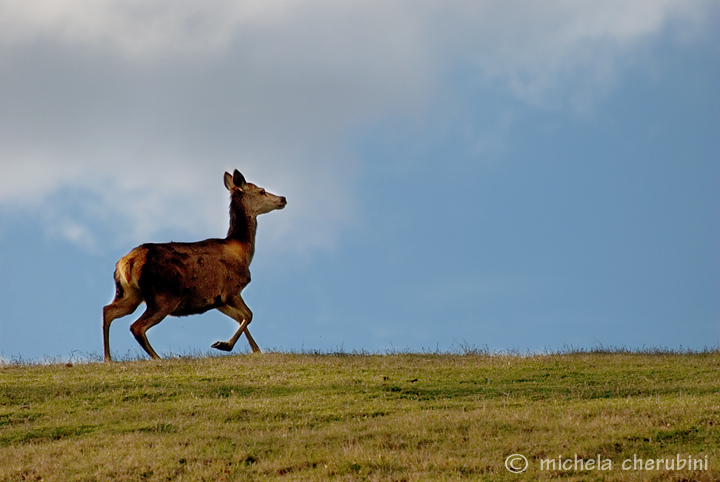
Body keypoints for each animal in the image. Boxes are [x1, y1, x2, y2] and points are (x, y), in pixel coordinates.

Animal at [102, 169, 286, 362]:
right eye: (261, 191)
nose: (283, 198)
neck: (242, 252)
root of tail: (126, 263)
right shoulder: (231, 290)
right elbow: (249, 315)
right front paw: (224, 345)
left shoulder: (217, 300)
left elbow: (240, 317)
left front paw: (255, 350)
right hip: (163, 295)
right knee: (136, 326)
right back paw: (157, 357)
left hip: (130, 293)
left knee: (108, 310)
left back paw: (108, 358)